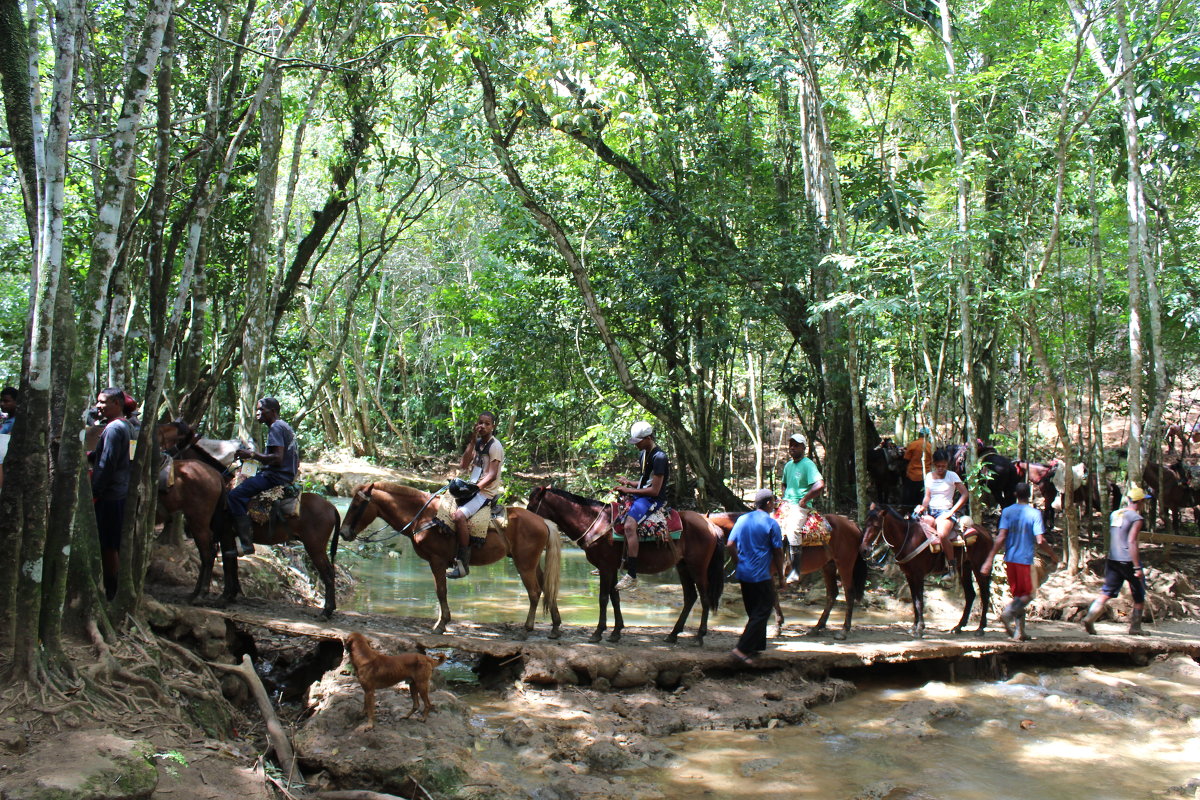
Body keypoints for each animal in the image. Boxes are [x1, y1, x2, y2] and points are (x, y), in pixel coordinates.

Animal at [157, 422, 340, 623]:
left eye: (170, 438)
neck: (223, 487)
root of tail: (332, 508)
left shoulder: (225, 533)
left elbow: (227, 563)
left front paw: (224, 597)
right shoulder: (227, 535)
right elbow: (231, 563)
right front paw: (230, 595)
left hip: (314, 546)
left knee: (329, 573)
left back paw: (326, 611)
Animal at [338, 479, 561, 642]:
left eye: (356, 505)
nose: (343, 532)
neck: (423, 517)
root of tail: (543, 521)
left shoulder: (436, 561)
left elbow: (441, 591)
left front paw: (441, 624)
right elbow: (440, 592)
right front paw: (441, 622)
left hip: (524, 564)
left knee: (534, 592)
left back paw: (526, 630)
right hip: (532, 564)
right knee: (547, 588)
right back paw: (555, 627)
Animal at [530, 484, 724, 647]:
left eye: (532, 504)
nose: (528, 520)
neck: (596, 523)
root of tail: (710, 525)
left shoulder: (605, 567)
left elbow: (603, 598)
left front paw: (598, 632)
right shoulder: (612, 568)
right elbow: (615, 597)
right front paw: (616, 632)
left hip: (698, 567)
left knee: (704, 598)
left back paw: (699, 636)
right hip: (683, 566)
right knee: (690, 597)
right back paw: (673, 634)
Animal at [864, 503, 993, 642]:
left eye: (876, 526)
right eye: (866, 523)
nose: (864, 550)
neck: (908, 539)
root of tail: (987, 533)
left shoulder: (918, 575)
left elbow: (920, 601)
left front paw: (920, 629)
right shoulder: (909, 576)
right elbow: (914, 600)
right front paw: (914, 627)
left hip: (979, 567)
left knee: (985, 595)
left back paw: (980, 628)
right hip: (965, 567)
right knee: (970, 594)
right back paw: (958, 627)